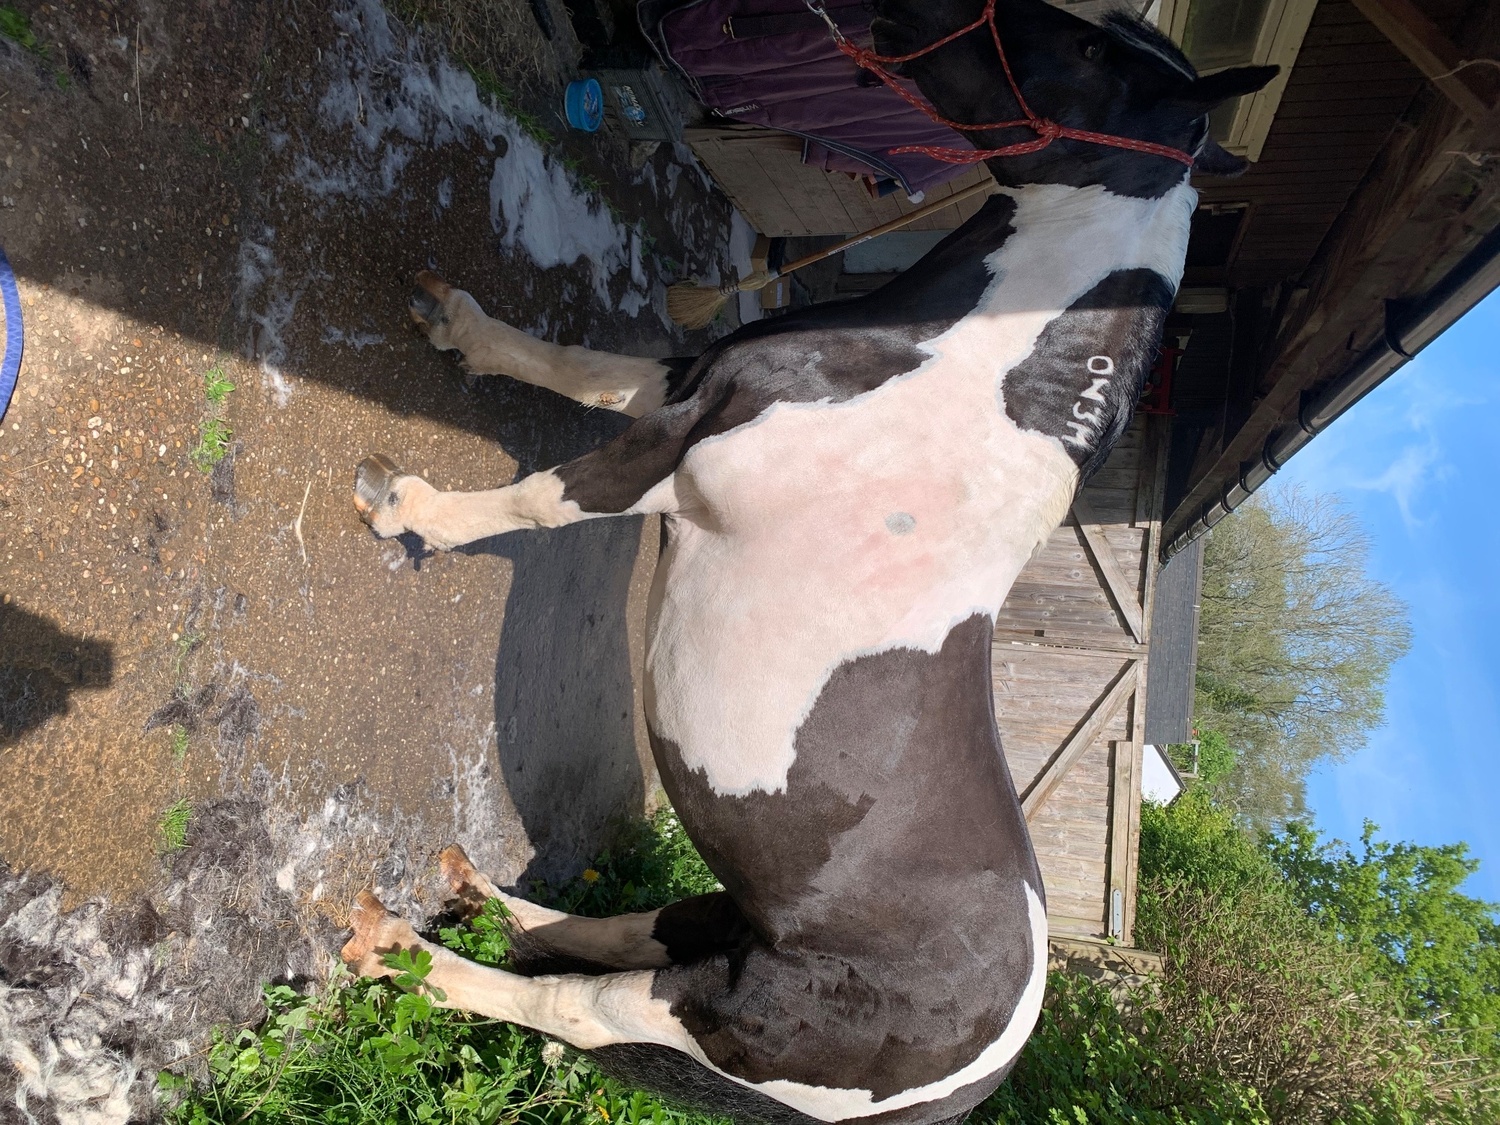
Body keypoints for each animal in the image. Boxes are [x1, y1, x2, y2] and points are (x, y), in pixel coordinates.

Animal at [341, 1, 1276, 1120]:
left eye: (1092, 51)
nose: (898, 17)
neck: (952, 371)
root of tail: (970, 1077)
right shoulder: (686, 389)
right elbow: (580, 368)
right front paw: (460, 329)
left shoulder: (671, 464)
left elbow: (540, 497)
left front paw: (406, 512)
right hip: (730, 925)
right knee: (619, 931)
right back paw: (479, 893)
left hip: (724, 1011)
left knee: (577, 1004)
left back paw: (399, 952)